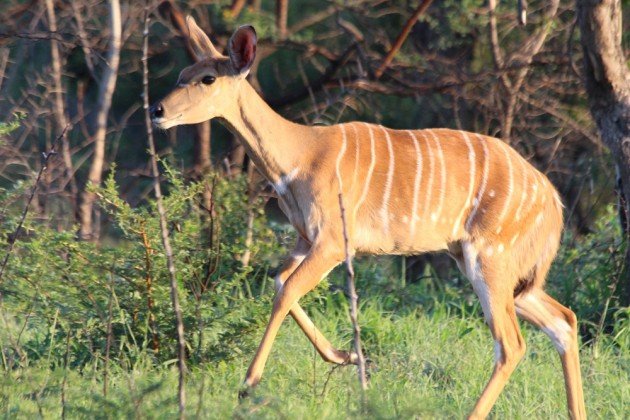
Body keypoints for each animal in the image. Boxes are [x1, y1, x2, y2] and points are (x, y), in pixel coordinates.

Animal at [151, 18, 592, 418]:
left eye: (208, 78)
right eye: (181, 74)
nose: (157, 109)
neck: (300, 154)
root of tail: (552, 200)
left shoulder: (332, 242)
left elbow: (286, 291)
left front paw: (249, 385)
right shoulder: (305, 239)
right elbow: (279, 282)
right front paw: (348, 356)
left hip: (490, 259)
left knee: (512, 343)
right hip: (494, 269)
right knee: (563, 320)